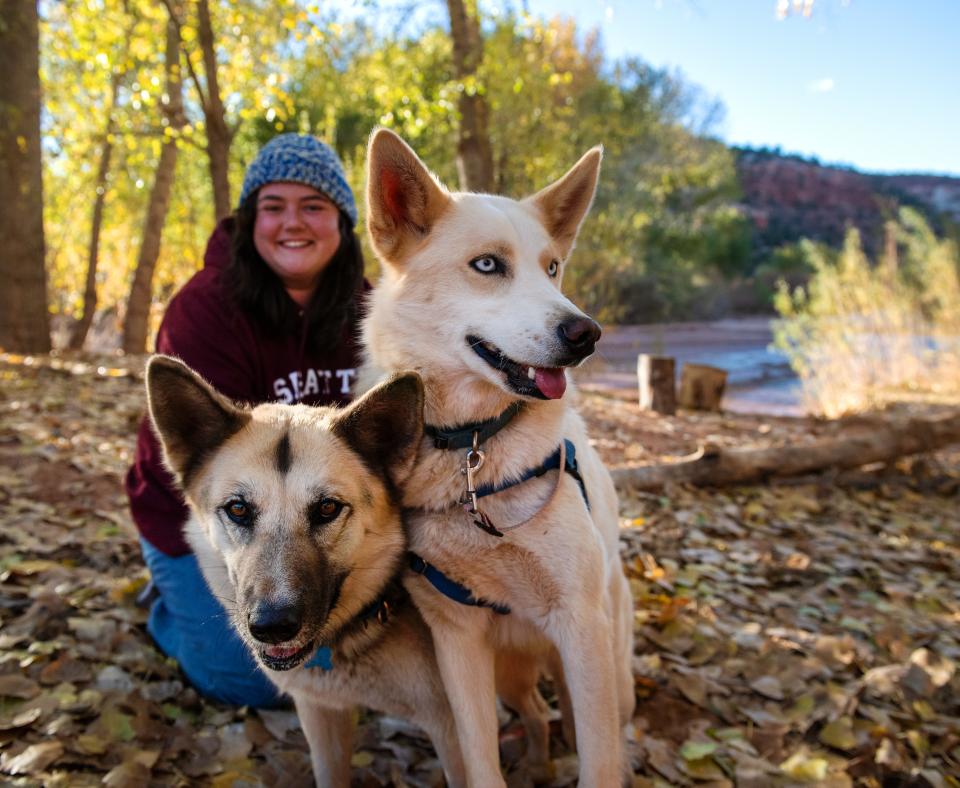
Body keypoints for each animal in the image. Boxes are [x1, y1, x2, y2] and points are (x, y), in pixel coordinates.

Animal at [360, 131, 636, 788]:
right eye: (488, 265)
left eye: (553, 267)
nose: (586, 333)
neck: (473, 448)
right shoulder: (455, 639)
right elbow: (479, 756)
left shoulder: (580, 627)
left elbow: (599, 760)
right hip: (507, 673)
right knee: (535, 712)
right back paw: (535, 762)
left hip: (606, 666)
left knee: (602, 727)